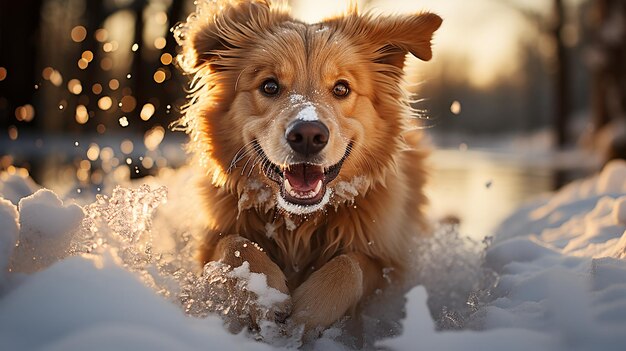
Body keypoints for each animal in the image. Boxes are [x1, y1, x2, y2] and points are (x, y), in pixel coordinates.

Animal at [173, 0, 442, 336]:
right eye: (270, 86)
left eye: (341, 89)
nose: (308, 135)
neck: (299, 223)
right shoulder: (209, 243)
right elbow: (234, 244)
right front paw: (266, 296)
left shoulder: (388, 262)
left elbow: (350, 265)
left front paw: (308, 311)